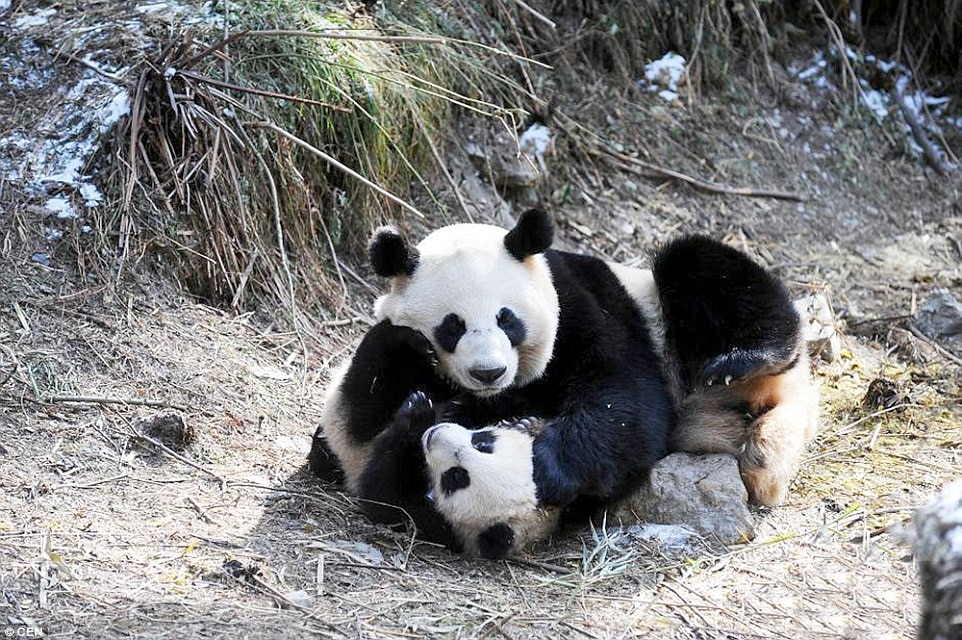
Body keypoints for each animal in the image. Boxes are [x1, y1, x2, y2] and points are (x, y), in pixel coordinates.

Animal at [309, 208, 818, 554]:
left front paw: (544, 464)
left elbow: (624, 395)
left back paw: (745, 359)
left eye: (507, 318)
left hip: (676, 317)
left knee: (701, 266)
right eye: (452, 326)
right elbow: (366, 409)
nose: (488, 372)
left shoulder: (581, 305)